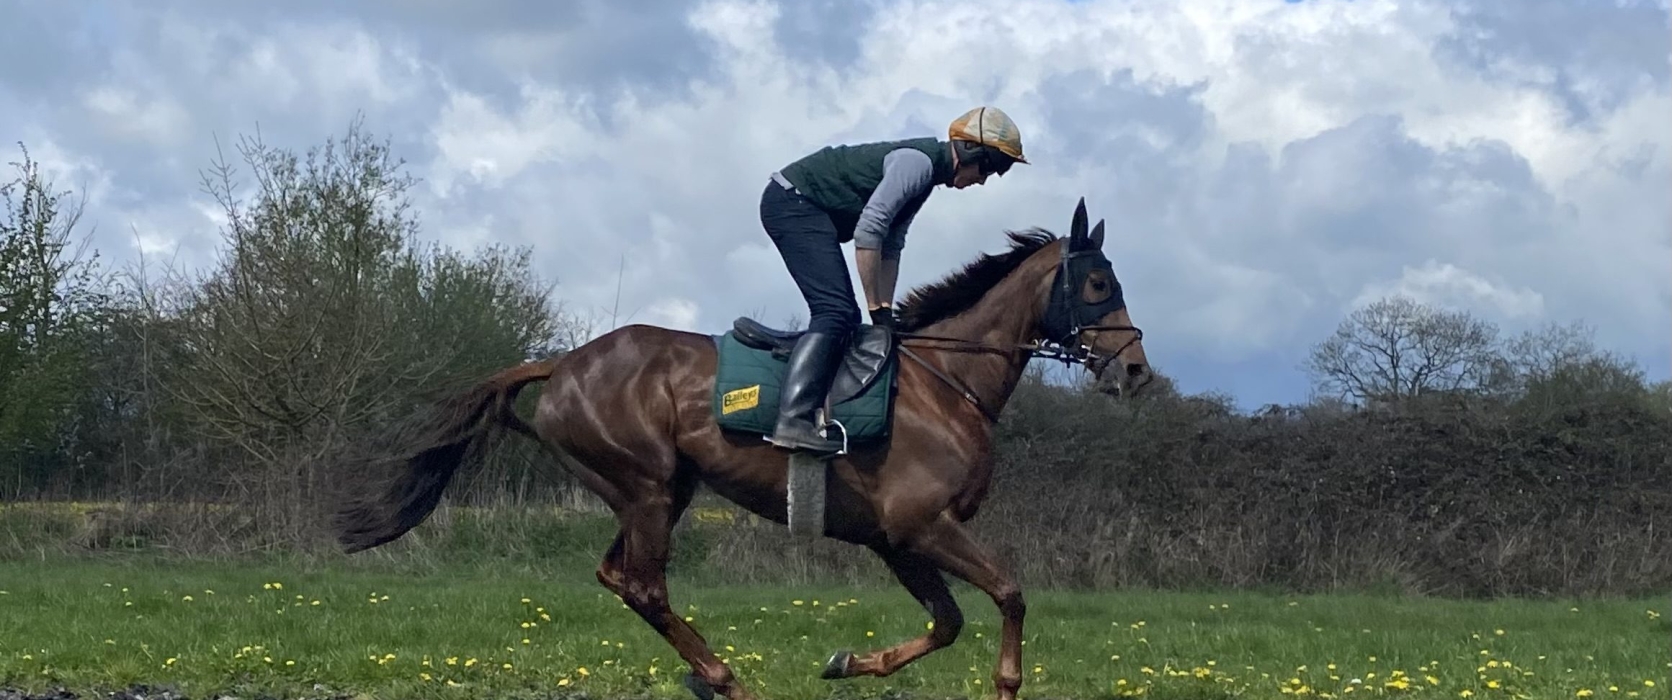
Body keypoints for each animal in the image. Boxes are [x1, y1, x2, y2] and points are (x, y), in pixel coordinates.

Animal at [329, 196, 1153, 700]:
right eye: (1098, 284)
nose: (1137, 372)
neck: (946, 381)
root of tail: (560, 364)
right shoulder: (922, 523)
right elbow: (1010, 593)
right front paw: (1007, 682)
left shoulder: (895, 539)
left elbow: (947, 621)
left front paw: (849, 661)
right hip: (647, 486)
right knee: (646, 586)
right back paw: (725, 679)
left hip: (658, 490)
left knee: (617, 575)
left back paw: (709, 675)